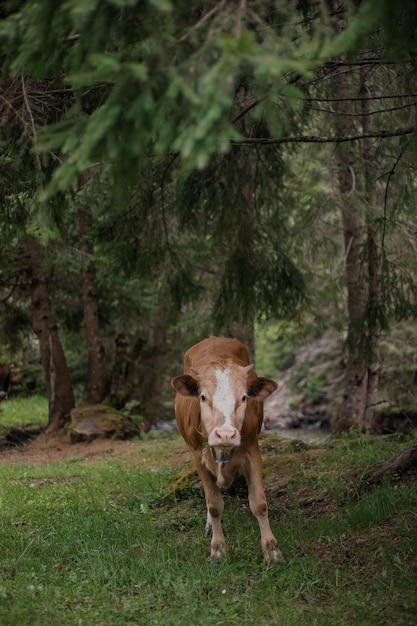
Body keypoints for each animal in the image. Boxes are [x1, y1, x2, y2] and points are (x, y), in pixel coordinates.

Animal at [171, 334, 282, 564]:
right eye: (203, 397)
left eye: (244, 397)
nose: (225, 434)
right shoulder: (197, 455)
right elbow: (214, 505)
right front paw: (218, 548)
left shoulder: (252, 449)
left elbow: (259, 503)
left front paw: (272, 550)